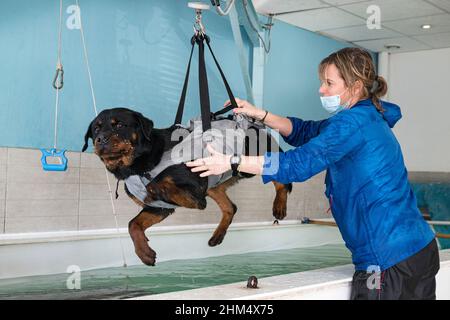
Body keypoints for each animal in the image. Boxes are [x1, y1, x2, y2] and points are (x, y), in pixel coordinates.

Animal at [82, 107, 294, 264]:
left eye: (119, 125)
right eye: (96, 129)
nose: (101, 139)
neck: (138, 165)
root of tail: (251, 123)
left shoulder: (194, 188)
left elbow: (157, 183)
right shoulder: (161, 208)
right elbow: (133, 224)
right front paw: (144, 252)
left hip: (252, 163)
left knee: (282, 178)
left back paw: (279, 206)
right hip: (215, 181)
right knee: (230, 207)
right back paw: (217, 236)